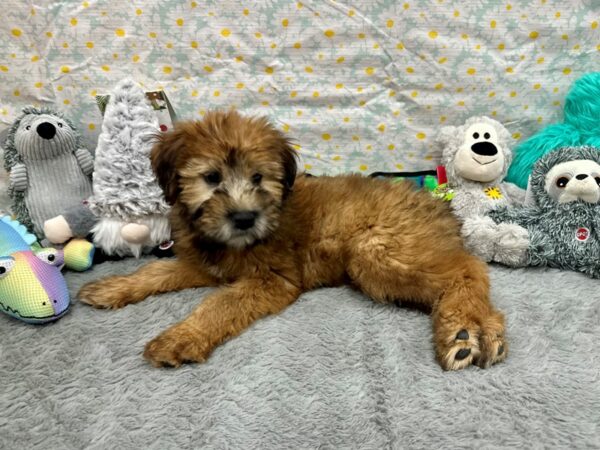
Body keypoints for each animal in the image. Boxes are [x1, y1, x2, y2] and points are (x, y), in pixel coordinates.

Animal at [78, 110, 506, 370]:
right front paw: (112, 288)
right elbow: (156, 271)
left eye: (258, 178)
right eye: (212, 178)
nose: (244, 218)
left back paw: (467, 331)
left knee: (468, 268)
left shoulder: (271, 280)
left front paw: (182, 337)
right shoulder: (202, 264)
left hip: (378, 251)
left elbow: (219, 305)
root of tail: (437, 204)